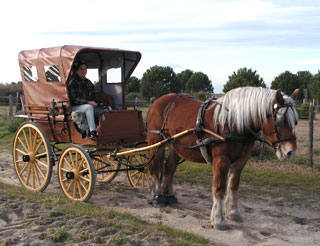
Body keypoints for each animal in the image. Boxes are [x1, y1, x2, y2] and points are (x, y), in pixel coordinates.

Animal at [146, 86, 298, 231]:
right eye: (280, 120)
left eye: (295, 121)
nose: (291, 151)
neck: (232, 122)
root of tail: (158, 101)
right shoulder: (221, 160)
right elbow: (219, 188)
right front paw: (219, 220)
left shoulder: (240, 161)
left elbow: (233, 186)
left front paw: (233, 213)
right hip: (156, 142)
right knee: (154, 167)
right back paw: (157, 196)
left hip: (175, 146)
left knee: (169, 168)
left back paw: (169, 195)